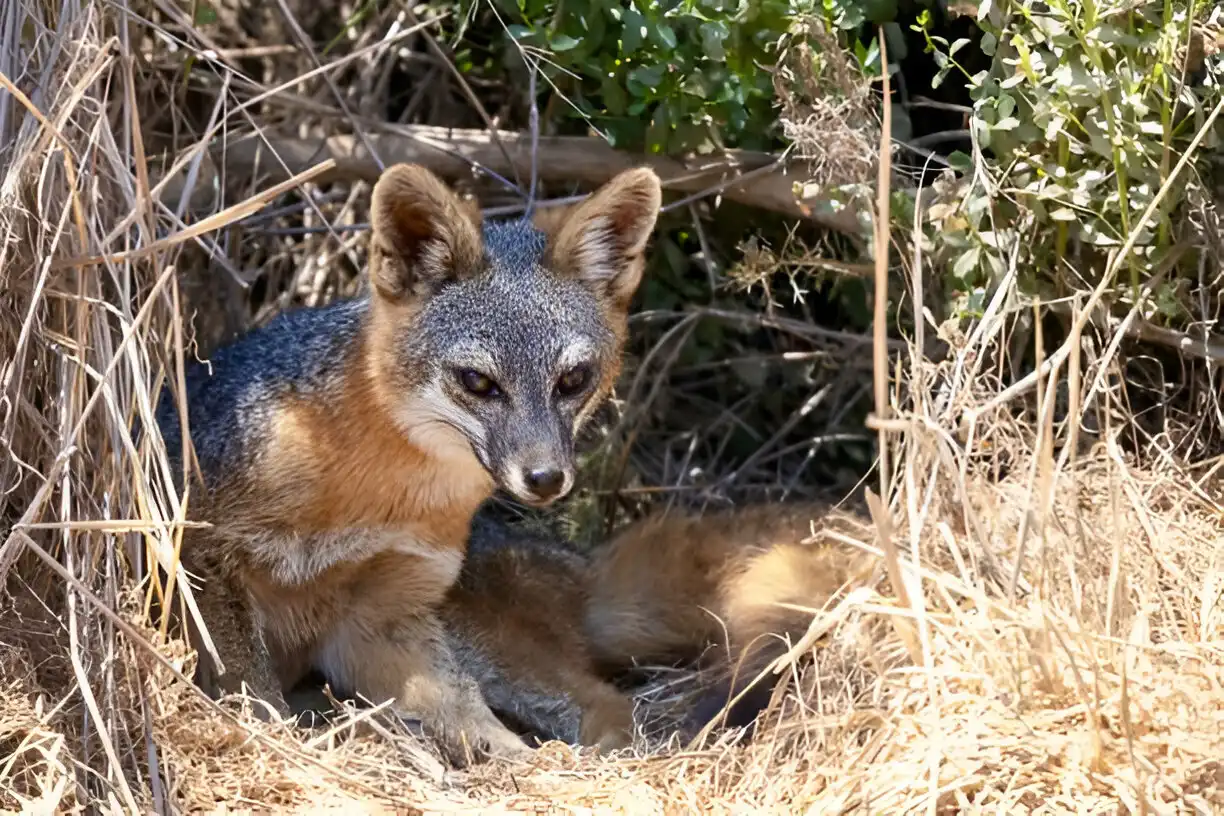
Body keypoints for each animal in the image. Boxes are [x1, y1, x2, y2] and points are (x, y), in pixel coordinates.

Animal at [155, 161, 670, 768]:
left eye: (572, 380)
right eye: (477, 382)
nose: (545, 478)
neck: (372, 499)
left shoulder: (384, 613)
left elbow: (462, 709)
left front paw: (514, 763)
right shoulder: (202, 556)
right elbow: (251, 691)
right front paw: (276, 745)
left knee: (607, 700)